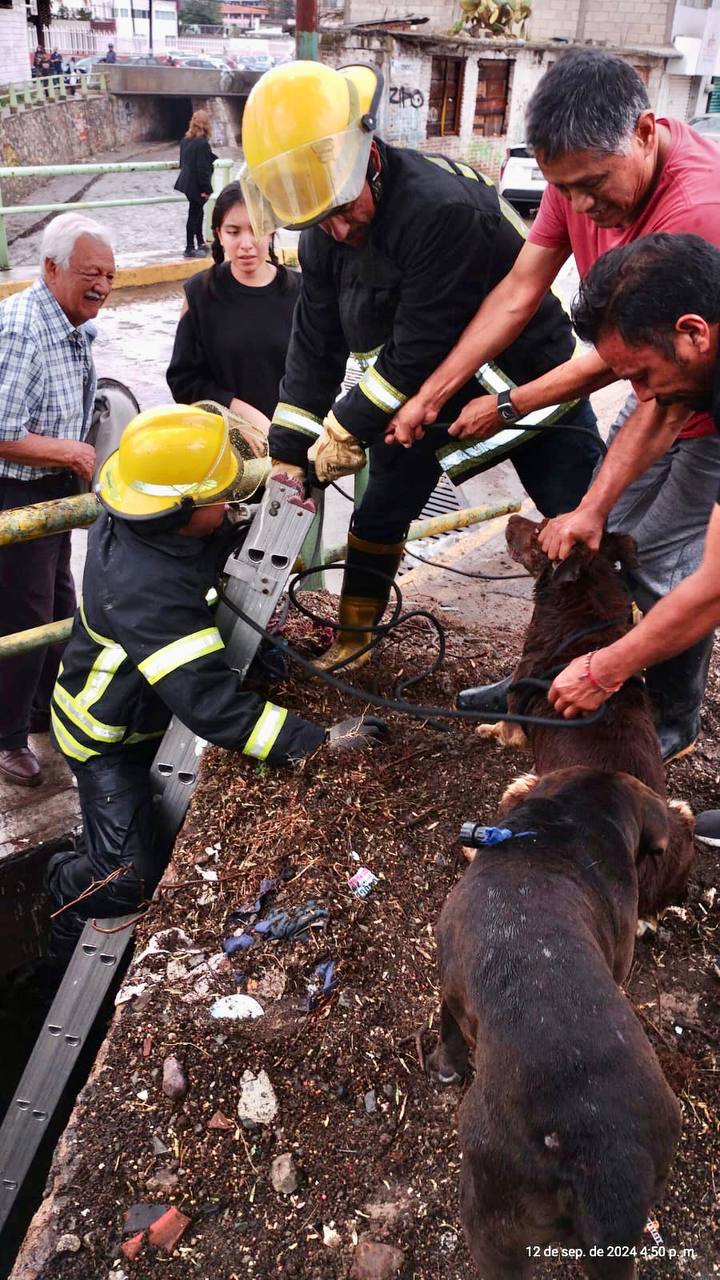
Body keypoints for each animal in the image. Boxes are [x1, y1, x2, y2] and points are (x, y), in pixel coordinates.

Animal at [474, 514, 691, 926]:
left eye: (539, 531)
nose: (509, 517)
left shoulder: (516, 702)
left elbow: (504, 728)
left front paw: (485, 729)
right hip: (682, 815)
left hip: (521, 788)